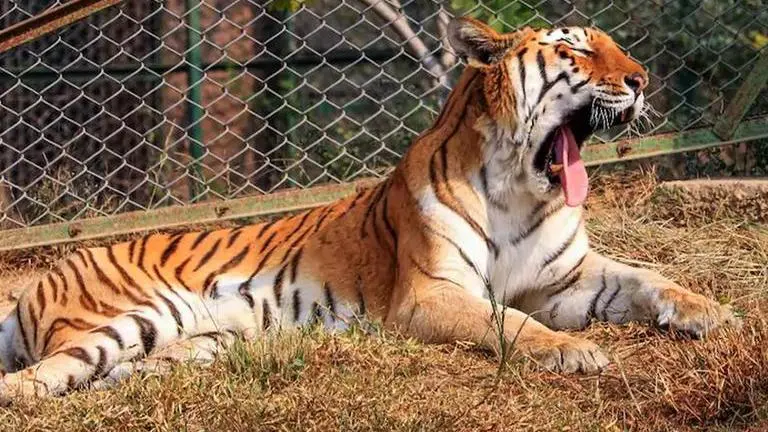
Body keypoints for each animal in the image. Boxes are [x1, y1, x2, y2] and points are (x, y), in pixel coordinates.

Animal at [0, 17, 737, 401]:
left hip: (196, 338)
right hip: (117, 321)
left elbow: (647, 279)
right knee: (37, 379)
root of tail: (41, 281)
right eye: (575, 48)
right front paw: (573, 351)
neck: (521, 187)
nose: (642, 79)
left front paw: (715, 312)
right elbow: (508, 323)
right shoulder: (430, 293)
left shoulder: (567, 279)